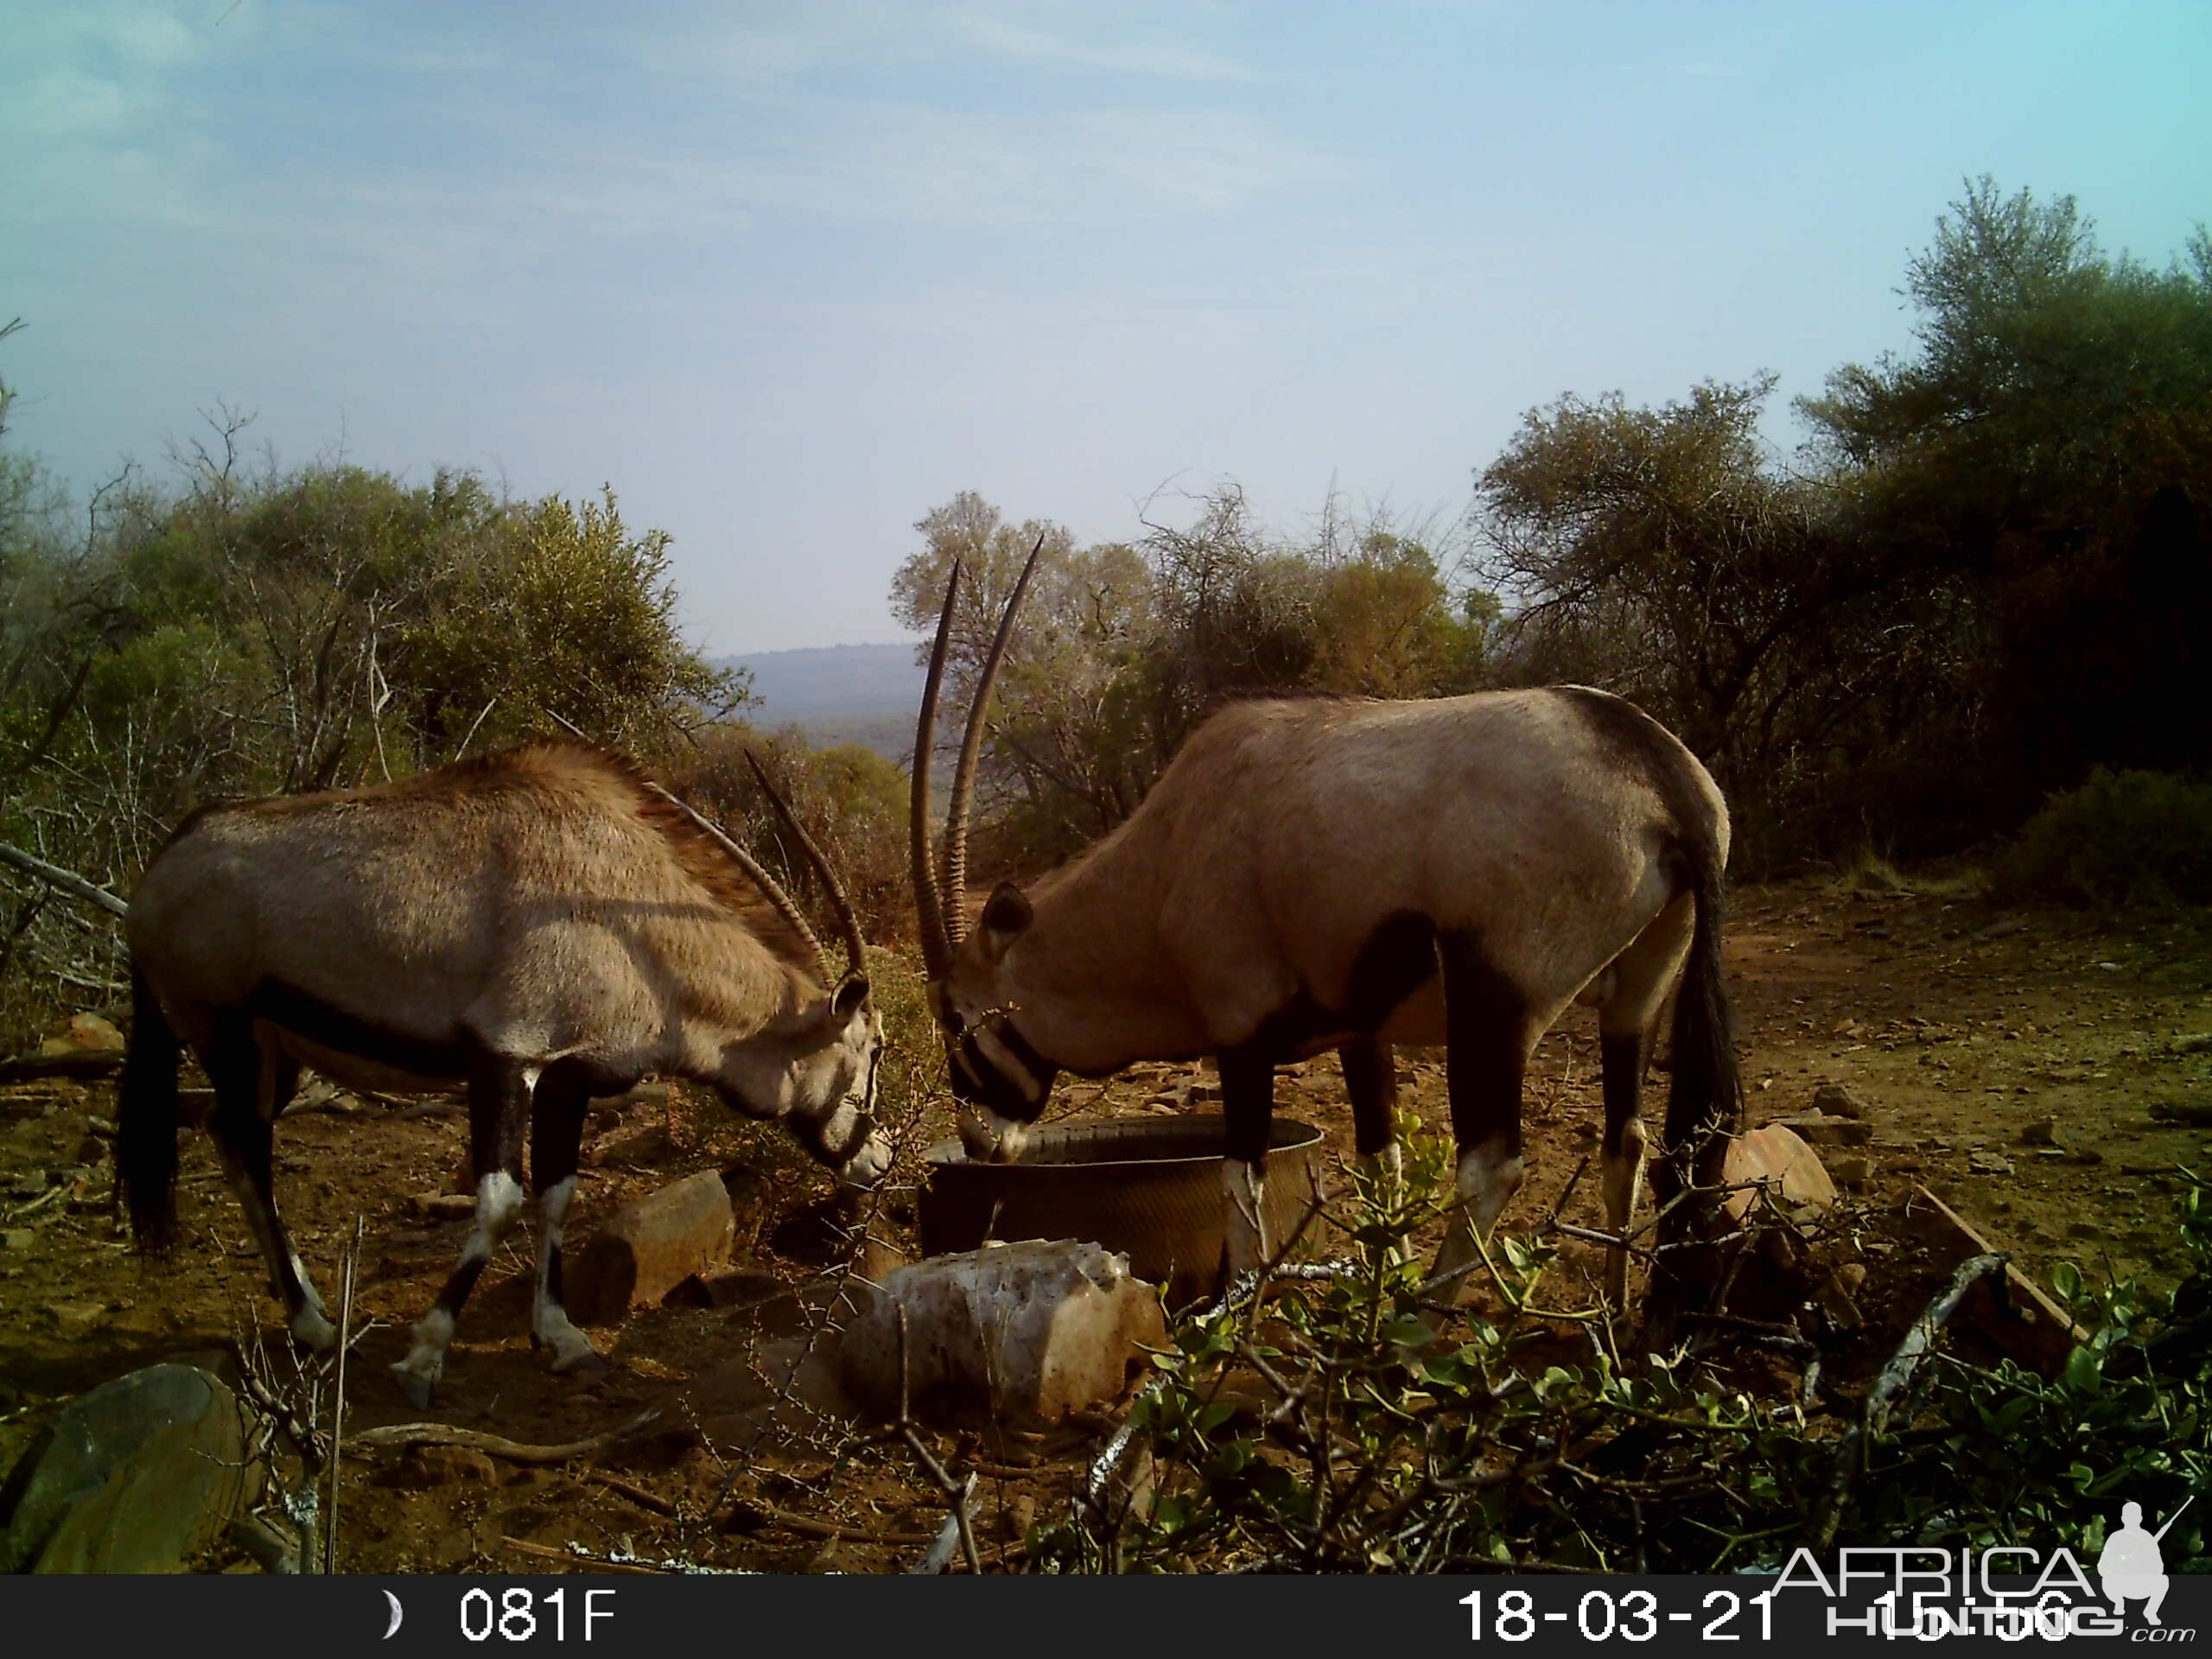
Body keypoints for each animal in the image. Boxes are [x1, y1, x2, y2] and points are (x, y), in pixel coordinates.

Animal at [118, 739, 889, 1407]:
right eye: (875, 1049)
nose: (879, 1161)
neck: (639, 930)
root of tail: (169, 855)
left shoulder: (568, 1077)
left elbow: (558, 1194)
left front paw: (561, 1338)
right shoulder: (506, 1058)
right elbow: (499, 1200)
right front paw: (425, 1356)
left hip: (274, 1056)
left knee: (227, 1131)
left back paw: (302, 1300)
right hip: (223, 1031)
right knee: (247, 1144)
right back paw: (314, 1327)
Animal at [911, 548, 1743, 1327]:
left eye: (957, 1015)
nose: (980, 1143)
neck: (1166, 859)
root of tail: (1662, 777)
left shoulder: (1241, 1032)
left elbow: (1239, 1177)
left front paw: (1239, 1316)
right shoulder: (1360, 1031)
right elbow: (1383, 1161)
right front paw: (1381, 1280)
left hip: (1497, 1000)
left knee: (1493, 1165)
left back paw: (1420, 1327)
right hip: (1640, 992)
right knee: (1628, 1138)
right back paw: (1615, 1310)